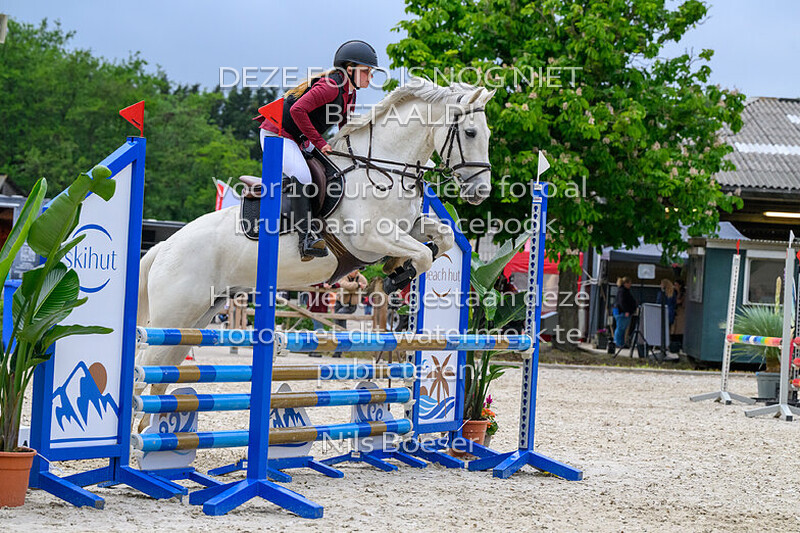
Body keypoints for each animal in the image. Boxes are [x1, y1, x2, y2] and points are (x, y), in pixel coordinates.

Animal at [135, 77, 495, 403]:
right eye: (470, 133)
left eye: (488, 135)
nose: (481, 192)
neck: (382, 169)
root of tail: (164, 247)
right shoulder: (369, 238)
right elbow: (422, 254)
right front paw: (397, 276)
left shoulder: (407, 227)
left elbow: (442, 239)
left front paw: (397, 268)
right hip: (174, 314)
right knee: (143, 369)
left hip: (199, 315)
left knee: (161, 374)